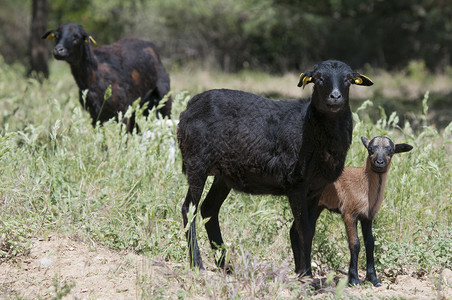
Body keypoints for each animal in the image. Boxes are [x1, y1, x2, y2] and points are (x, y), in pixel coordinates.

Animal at [42, 23, 171, 131]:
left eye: (76, 37)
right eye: (56, 36)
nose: (58, 50)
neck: (94, 77)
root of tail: (151, 46)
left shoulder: (122, 112)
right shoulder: (95, 116)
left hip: (164, 98)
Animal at [178, 59, 372, 278]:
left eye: (349, 79)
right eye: (318, 78)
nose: (335, 97)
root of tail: (189, 106)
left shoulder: (316, 188)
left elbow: (308, 229)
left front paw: (302, 270)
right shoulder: (296, 185)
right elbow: (304, 229)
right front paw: (306, 273)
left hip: (223, 175)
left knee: (209, 209)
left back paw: (225, 265)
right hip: (197, 163)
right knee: (189, 209)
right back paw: (197, 263)